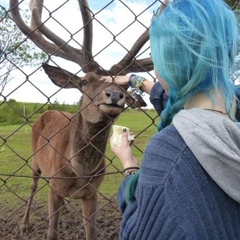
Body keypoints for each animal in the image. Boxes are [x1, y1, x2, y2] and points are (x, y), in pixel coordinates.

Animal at [9, 0, 160, 239]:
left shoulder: (92, 192)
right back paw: (25, 224)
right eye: (85, 82)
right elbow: (51, 232)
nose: (114, 95)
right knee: (33, 186)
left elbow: (91, 232)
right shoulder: (55, 186)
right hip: (34, 160)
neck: (79, 172)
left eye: (125, 87)